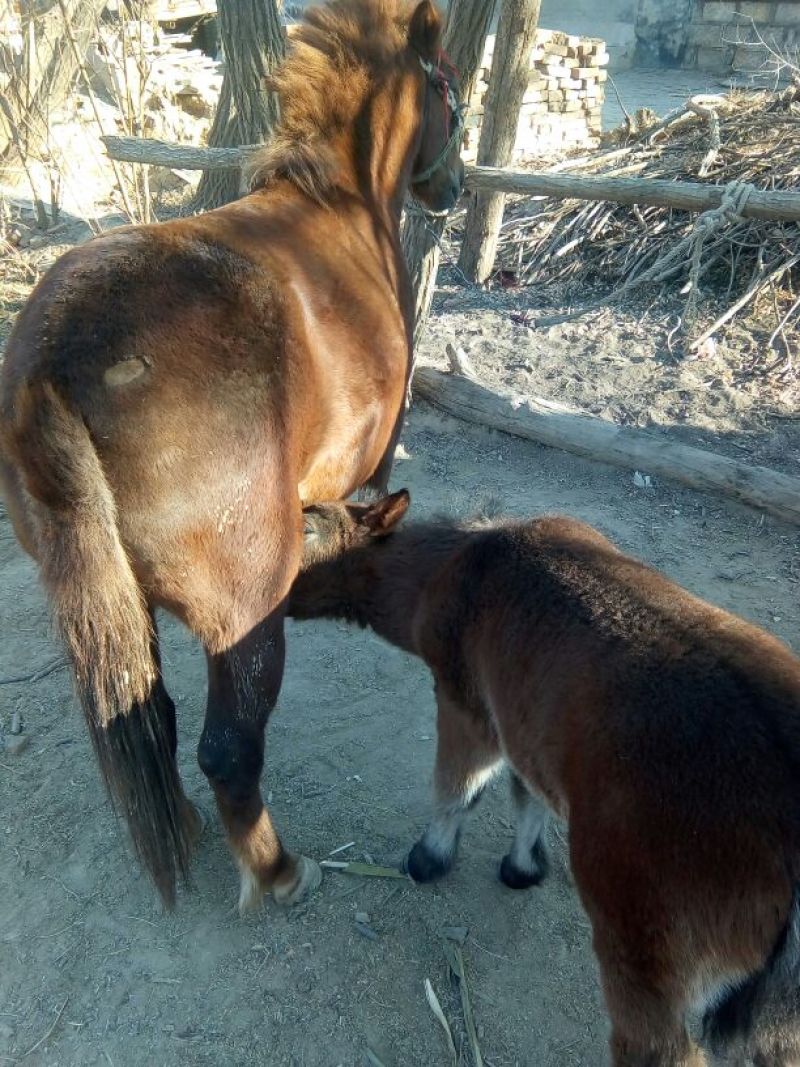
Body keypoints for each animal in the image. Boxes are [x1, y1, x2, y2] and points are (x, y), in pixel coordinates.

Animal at [0, 0, 465, 913]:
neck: (342, 202)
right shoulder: (376, 461)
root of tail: (54, 363)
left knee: (153, 717)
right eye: (450, 91)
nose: (455, 185)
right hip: (242, 613)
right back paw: (280, 869)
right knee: (228, 747)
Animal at [291, 491, 800, 1067]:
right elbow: (527, 795)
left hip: (642, 941)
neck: (438, 576)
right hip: (775, 1019)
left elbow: (458, 790)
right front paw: (523, 868)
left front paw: (428, 860)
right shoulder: (527, 725)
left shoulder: (466, 699)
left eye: (305, 529)